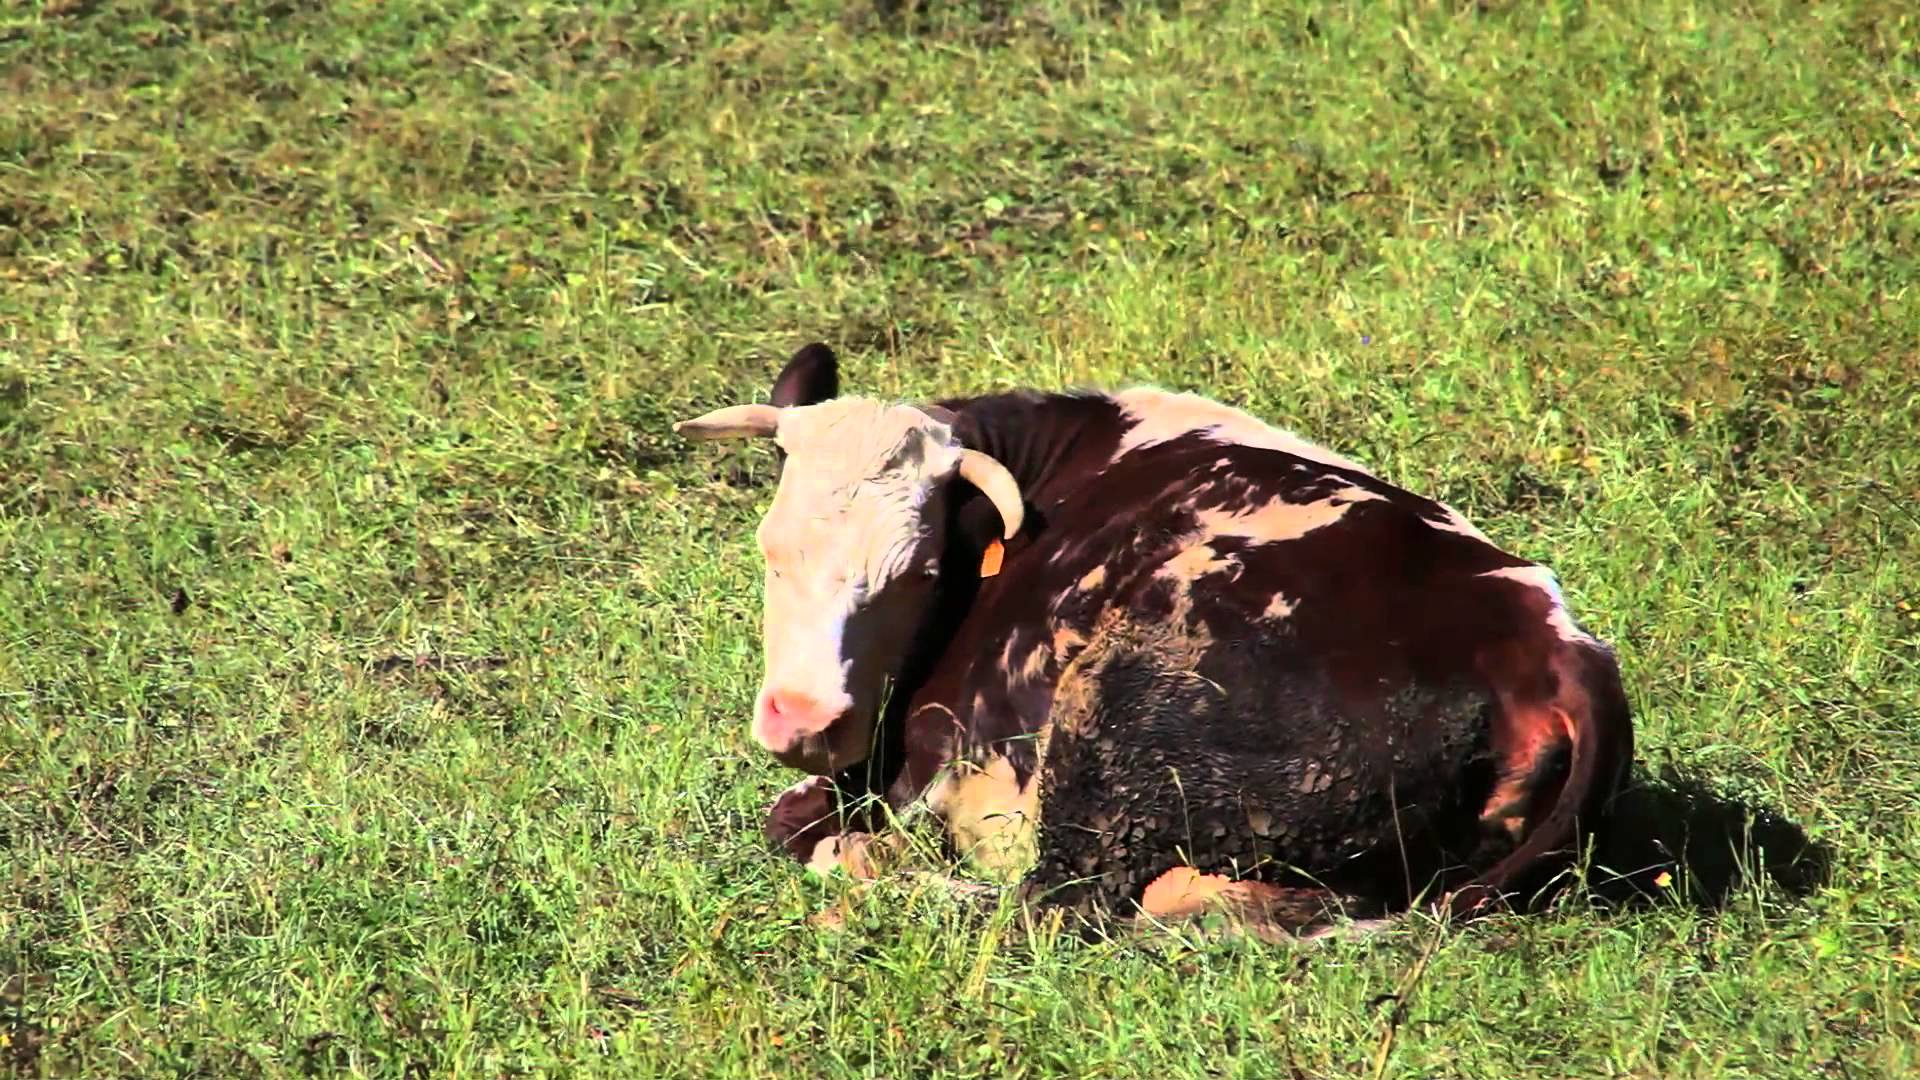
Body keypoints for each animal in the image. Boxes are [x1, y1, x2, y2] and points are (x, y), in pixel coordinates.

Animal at [675, 342, 1635, 933]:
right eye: (770, 548)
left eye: (919, 571)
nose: (805, 721)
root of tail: (1556, 645)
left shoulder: (927, 758)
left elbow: (794, 820)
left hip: (1115, 729)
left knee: (1056, 903)